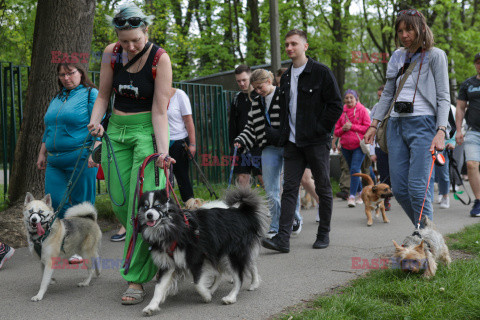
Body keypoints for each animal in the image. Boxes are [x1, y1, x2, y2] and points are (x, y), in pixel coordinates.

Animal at [137, 188, 268, 316]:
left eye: (158, 205)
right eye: (145, 207)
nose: (149, 215)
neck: (172, 227)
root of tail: (242, 212)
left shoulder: (196, 258)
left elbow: (197, 283)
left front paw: (206, 295)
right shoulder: (168, 264)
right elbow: (159, 287)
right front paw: (151, 306)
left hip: (232, 254)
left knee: (240, 276)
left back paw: (233, 296)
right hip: (218, 253)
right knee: (229, 271)